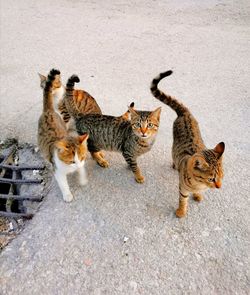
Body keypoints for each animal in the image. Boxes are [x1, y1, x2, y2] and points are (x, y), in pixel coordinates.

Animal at [36, 69, 88, 204]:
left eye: (82, 157)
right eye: (71, 161)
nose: (78, 166)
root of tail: (48, 111)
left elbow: (81, 170)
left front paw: (82, 179)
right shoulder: (58, 171)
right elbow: (63, 184)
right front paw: (67, 195)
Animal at [151, 69, 226, 217]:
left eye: (221, 176)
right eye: (211, 179)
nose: (219, 186)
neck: (199, 183)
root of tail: (185, 113)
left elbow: (197, 192)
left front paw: (197, 195)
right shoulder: (183, 188)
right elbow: (183, 200)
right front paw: (181, 211)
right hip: (173, 146)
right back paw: (175, 165)